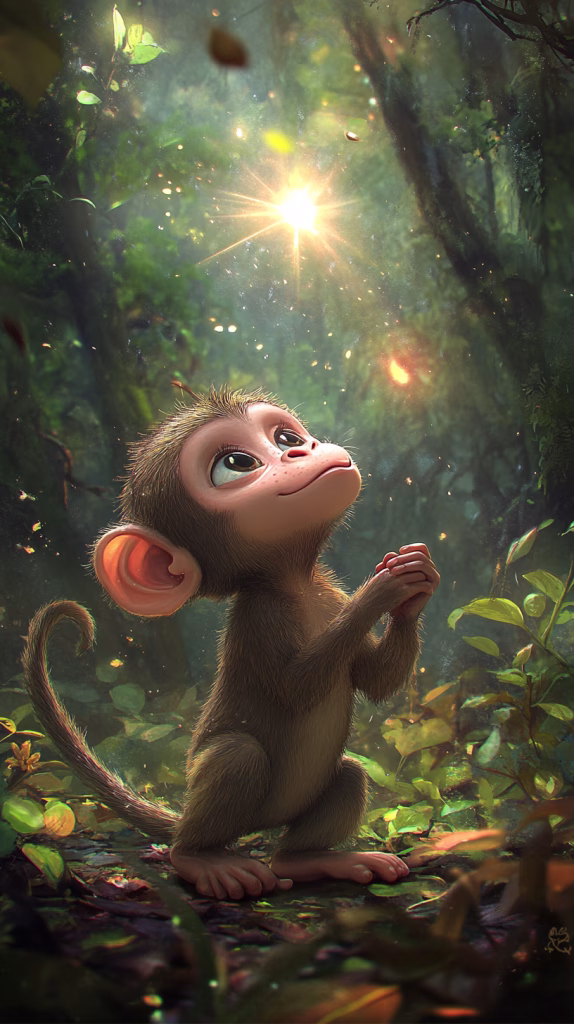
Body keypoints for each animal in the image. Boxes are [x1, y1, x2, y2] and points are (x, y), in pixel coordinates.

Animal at [23, 386, 439, 901]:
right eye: (236, 463)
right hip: (218, 794)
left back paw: (312, 859)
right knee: (236, 758)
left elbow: (374, 682)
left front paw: (417, 580)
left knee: (344, 781)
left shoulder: (329, 594)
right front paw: (381, 590)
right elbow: (297, 688)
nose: (301, 450)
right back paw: (201, 859)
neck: (298, 585)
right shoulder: (258, 618)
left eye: (285, 437)